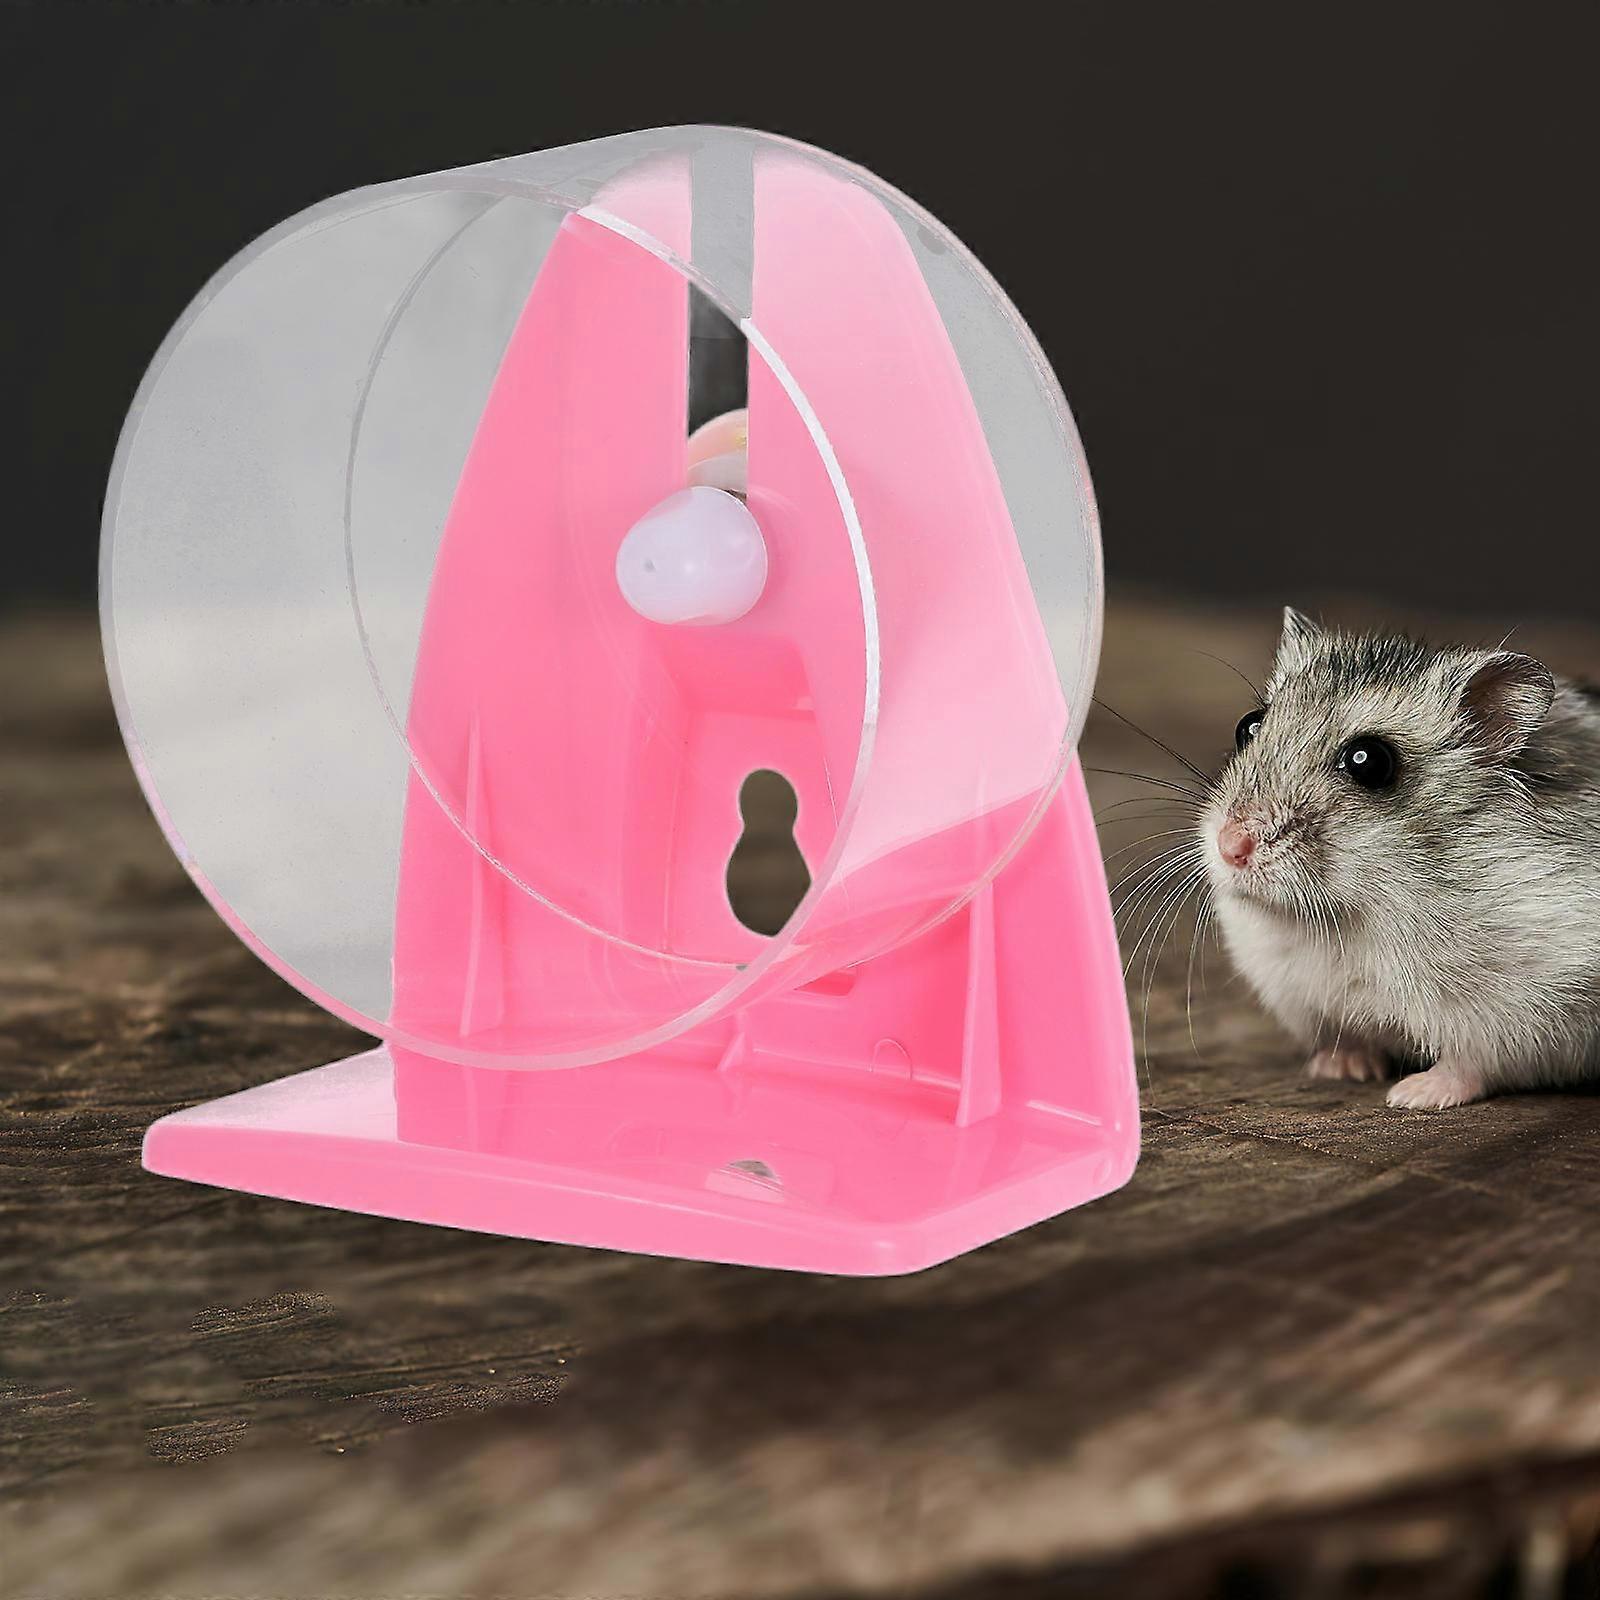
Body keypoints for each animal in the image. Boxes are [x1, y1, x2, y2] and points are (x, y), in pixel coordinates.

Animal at [1201, 607, 1600, 1110]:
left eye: (1368, 761)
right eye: (1248, 726)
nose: (1231, 846)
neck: (1365, 908)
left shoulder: (1524, 1013)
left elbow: (1470, 1066)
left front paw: (1411, 1095)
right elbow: (1350, 1040)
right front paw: (1340, 1069)